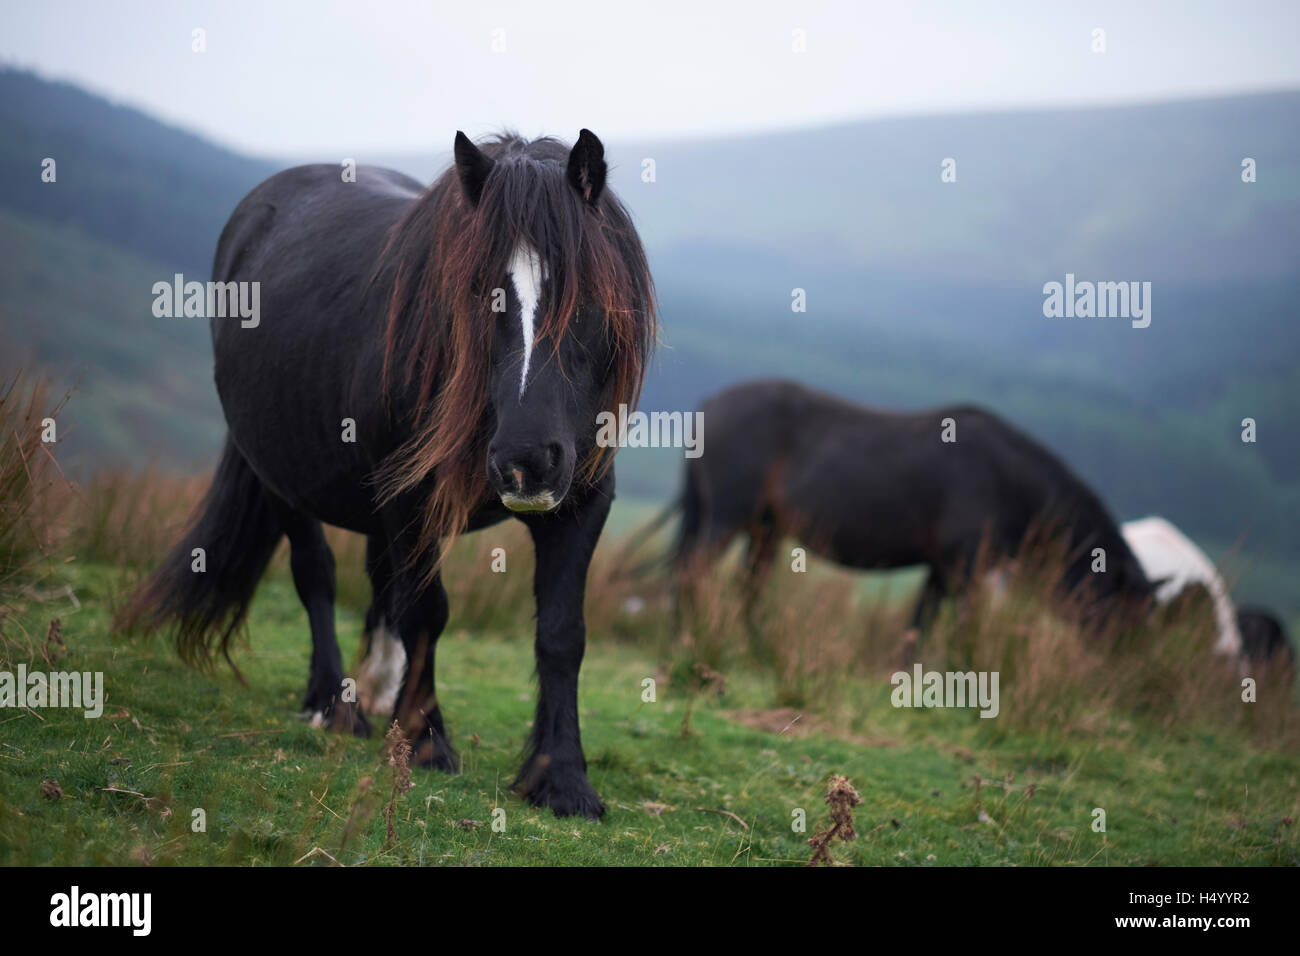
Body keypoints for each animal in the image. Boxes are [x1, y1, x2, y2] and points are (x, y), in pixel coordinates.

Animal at [116, 130, 657, 819]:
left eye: (587, 295)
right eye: (481, 291)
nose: (526, 459)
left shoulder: (582, 498)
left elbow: (561, 634)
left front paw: (560, 778)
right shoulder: (412, 499)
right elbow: (426, 611)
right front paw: (426, 741)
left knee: (380, 583)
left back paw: (375, 691)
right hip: (282, 473)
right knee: (316, 575)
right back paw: (334, 704)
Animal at [662, 379, 1153, 631]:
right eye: (1124, 613)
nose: (1121, 680)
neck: (1008, 481)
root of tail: (711, 403)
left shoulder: (943, 566)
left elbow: (919, 625)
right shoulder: (967, 567)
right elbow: (961, 626)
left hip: (765, 527)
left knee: (747, 586)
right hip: (728, 517)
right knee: (692, 572)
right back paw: (689, 635)